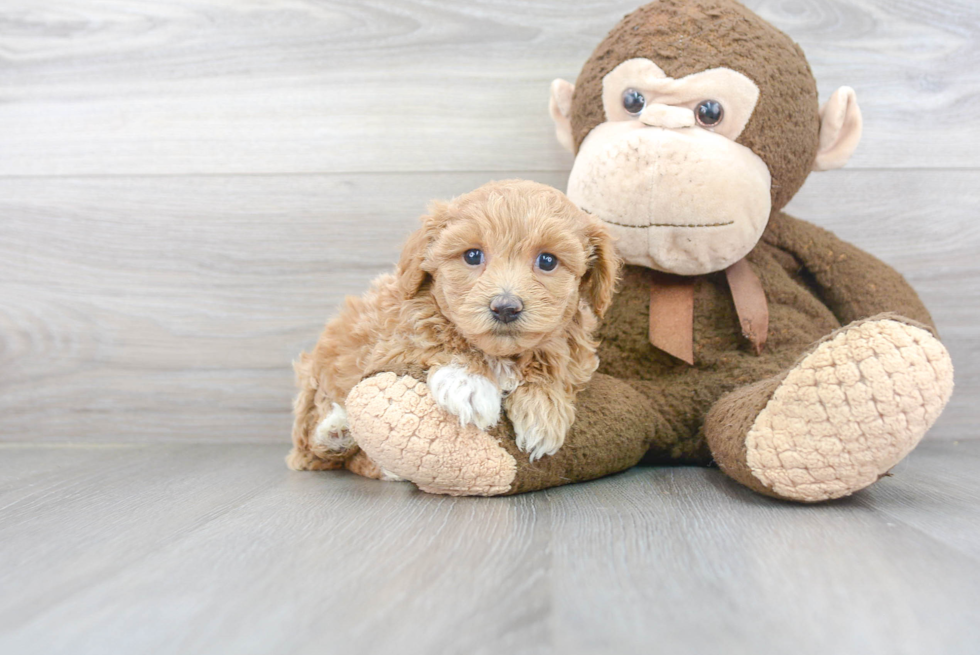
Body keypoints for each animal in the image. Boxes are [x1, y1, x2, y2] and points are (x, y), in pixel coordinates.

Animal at [288, 181, 616, 476]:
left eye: (547, 261)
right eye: (472, 256)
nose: (505, 307)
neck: (501, 355)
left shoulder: (576, 352)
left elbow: (555, 364)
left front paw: (543, 408)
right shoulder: (390, 342)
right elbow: (436, 339)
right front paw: (468, 382)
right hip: (315, 385)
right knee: (315, 449)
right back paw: (336, 431)